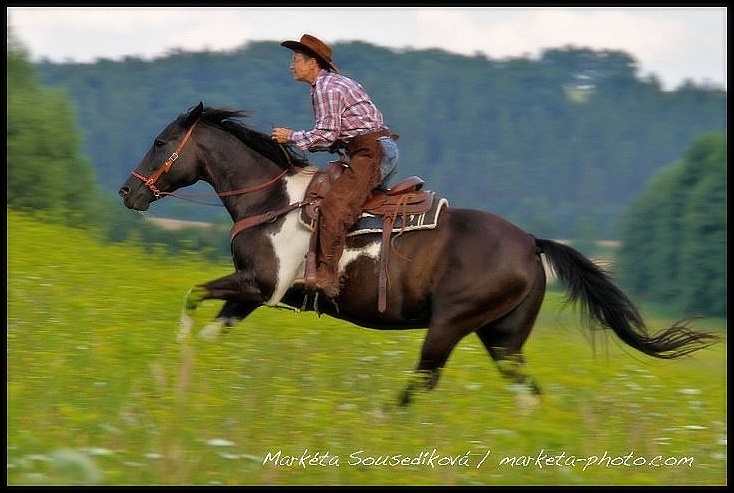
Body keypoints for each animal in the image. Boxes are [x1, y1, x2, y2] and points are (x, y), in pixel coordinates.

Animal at [118, 102, 720, 406]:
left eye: (158, 141)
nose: (128, 193)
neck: (271, 200)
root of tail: (531, 243)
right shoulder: (250, 295)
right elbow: (209, 327)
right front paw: (178, 373)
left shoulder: (259, 285)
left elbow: (192, 295)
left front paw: (172, 359)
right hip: (503, 338)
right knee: (526, 391)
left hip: (449, 326)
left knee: (421, 383)